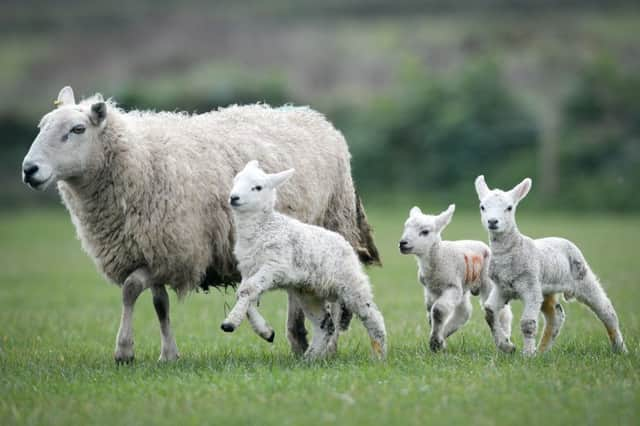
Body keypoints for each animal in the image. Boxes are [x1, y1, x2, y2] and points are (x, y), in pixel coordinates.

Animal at [220, 160, 388, 360]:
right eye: (235, 181)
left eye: (258, 187)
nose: (234, 198)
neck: (263, 227)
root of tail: (345, 242)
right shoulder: (249, 269)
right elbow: (244, 292)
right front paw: (265, 331)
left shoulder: (275, 265)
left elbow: (248, 290)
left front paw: (230, 323)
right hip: (308, 291)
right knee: (325, 325)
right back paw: (309, 359)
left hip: (351, 282)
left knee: (371, 315)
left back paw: (379, 355)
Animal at [398, 205, 512, 352]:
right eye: (405, 227)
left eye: (425, 232)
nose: (402, 243)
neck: (439, 256)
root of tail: (482, 244)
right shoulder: (431, 289)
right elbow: (430, 311)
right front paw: (438, 340)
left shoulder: (451, 285)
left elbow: (438, 310)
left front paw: (436, 342)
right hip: (463, 285)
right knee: (464, 311)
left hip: (486, 280)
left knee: (502, 312)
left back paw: (505, 341)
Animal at [476, 175, 624, 354]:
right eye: (482, 207)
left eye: (509, 208)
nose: (492, 222)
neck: (513, 250)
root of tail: (562, 238)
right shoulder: (502, 288)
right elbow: (489, 312)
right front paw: (506, 345)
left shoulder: (530, 286)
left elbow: (528, 323)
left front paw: (527, 354)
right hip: (546, 288)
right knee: (556, 315)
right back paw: (542, 351)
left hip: (582, 275)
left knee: (606, 309)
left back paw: (620, 348)